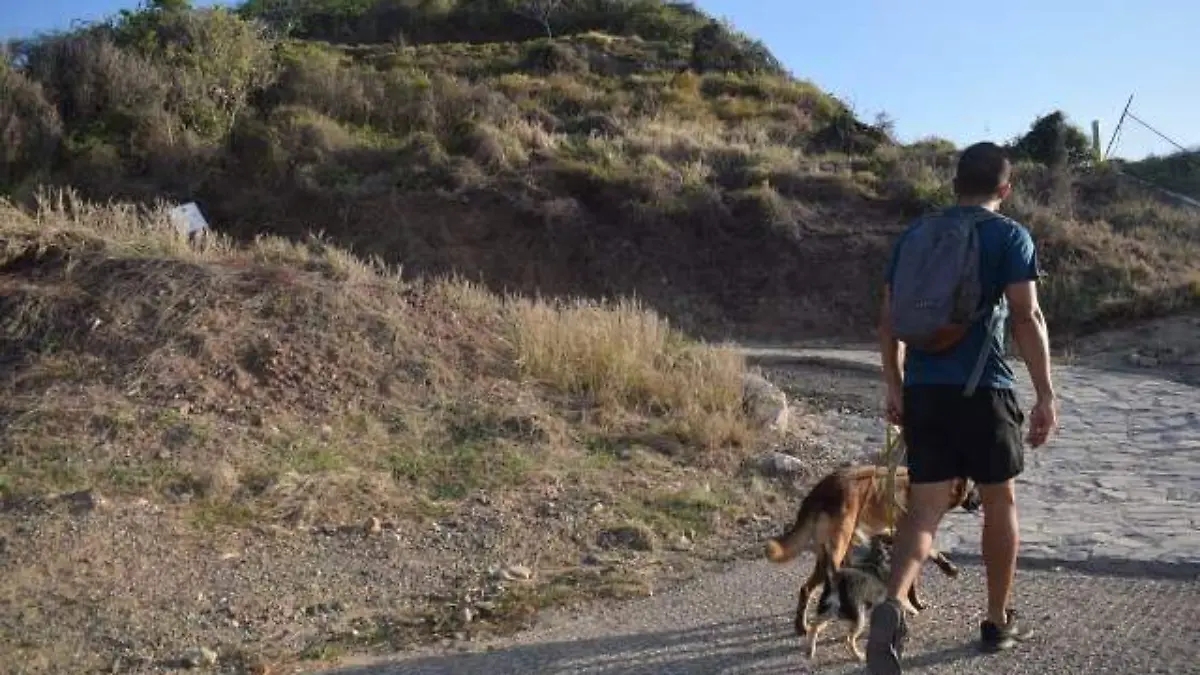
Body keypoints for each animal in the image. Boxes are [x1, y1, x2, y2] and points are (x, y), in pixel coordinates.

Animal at [764, 464, 981, 636]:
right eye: (975, 488)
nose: (979, 504)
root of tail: (818, 492)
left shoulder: (890, 533)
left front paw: (917, 598)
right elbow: (923, 563)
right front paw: (945, 570)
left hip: (838, 548)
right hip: (838, 548)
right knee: (808, 588)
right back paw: (803, 625)